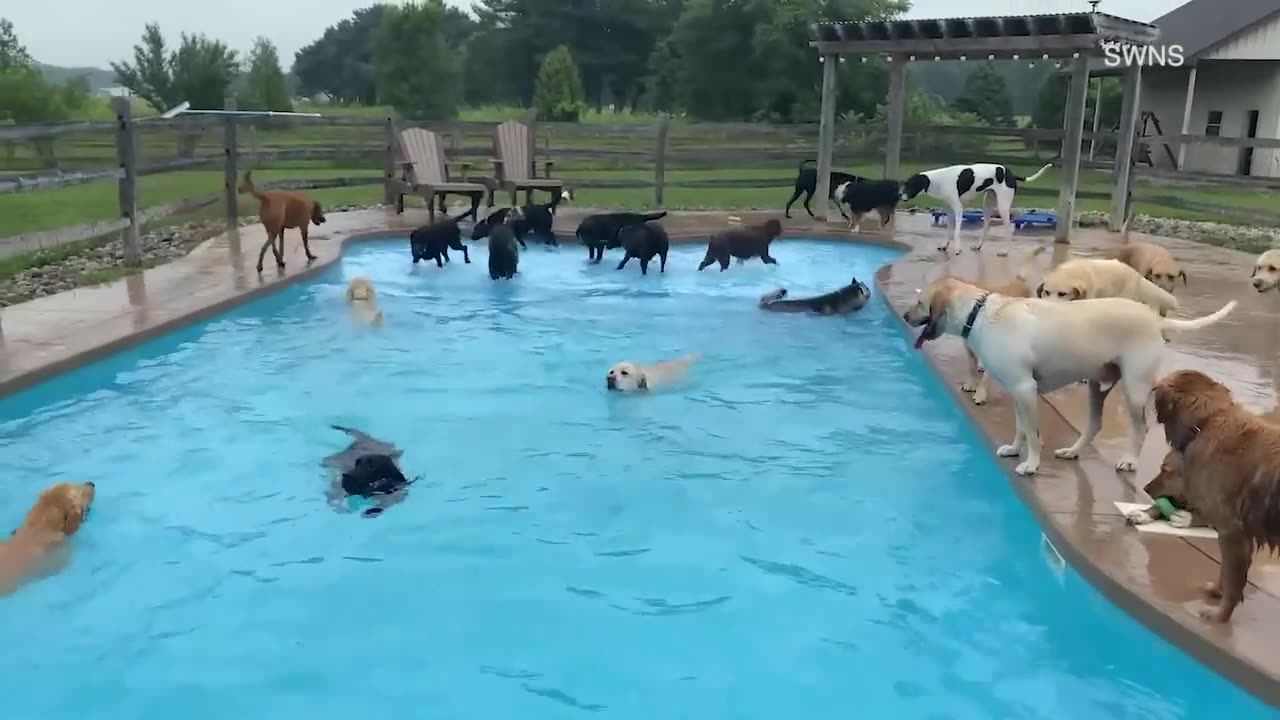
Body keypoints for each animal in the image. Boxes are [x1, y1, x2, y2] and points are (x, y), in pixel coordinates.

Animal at [901, 162, 1049, 254]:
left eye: (911, 185)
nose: (900, 195)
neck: (938, 180)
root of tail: (1011, 174)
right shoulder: (949, 211)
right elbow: (949, 231)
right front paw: (945, 245)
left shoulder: (958, 210)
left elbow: (956, 232)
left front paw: (957, 249)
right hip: (987, 205)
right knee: (986, 227)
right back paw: (979, 246)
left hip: (1002, 207)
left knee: (1008, 231)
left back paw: (1005, 251)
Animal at [906, 278, 1233, 474]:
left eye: (921, 303)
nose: (907, 316)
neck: (981, 313)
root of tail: (1154, 317)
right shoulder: (1020, 392)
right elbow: (1021, 428)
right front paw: (1015, 449)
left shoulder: (1024, 388)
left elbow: (1033, 434)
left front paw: (1031, 464)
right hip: (1097, 386)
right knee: (1094, 425)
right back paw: (1073, 452)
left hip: (1135, 389)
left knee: (1141, 428)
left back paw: (1129, 460)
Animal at [1152, 366, 1280, 620]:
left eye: (1165, 470)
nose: (1145, 489)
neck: (1205, 424)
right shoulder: (1232, 533)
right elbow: (1224, 571)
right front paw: (1215, 591)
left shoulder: (1233, 531)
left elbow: (1232, 581)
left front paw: (1220, 615)